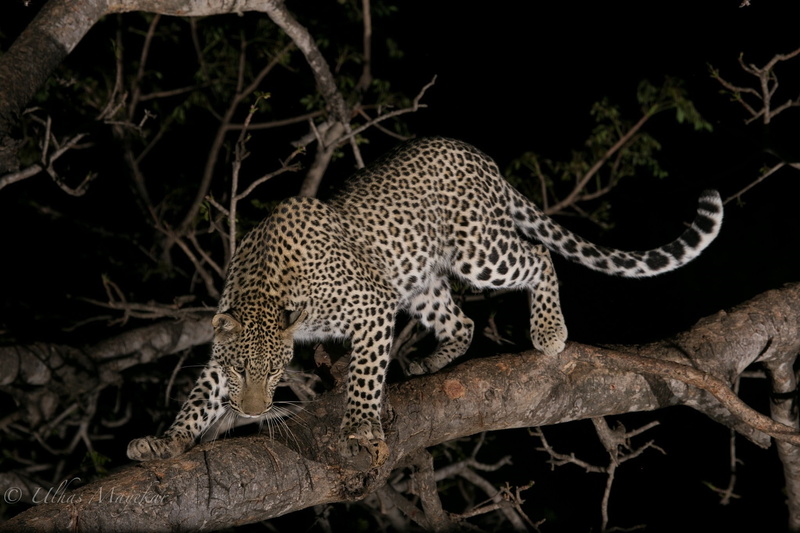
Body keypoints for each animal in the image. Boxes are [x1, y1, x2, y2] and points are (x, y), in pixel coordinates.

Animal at [127, 136, 723, 464]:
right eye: (242, 370)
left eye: (277, 373)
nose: (252, 411)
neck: (265, 285)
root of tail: (475, 154)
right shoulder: (224, 345)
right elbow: (198, 397)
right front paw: (167, 442)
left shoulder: (370, 307)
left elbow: (364, 376)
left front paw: (360, 427)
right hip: (422, 281)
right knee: (461, 323)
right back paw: (429, 363)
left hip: (478, 249)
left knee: (537, 257)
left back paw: (549, 332)